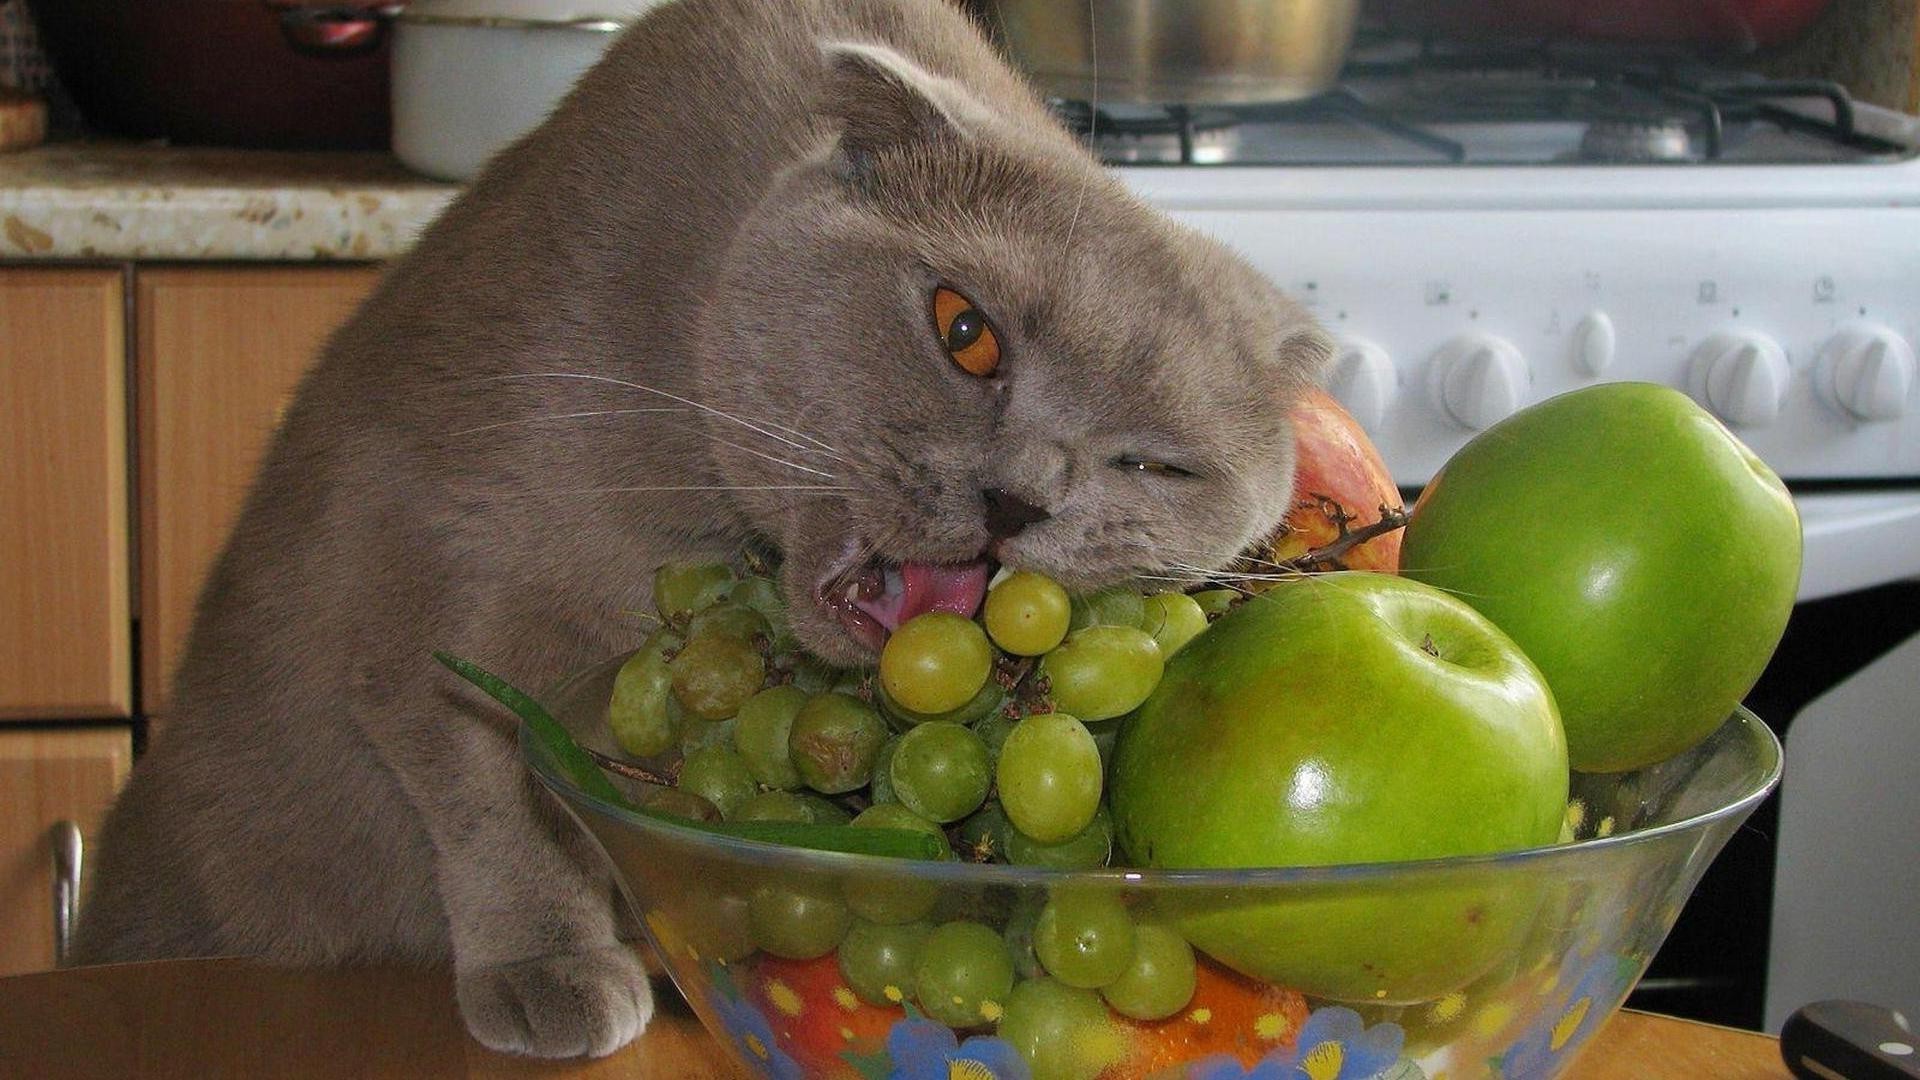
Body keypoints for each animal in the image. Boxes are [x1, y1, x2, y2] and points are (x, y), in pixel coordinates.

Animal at [78, 0, 1336, 1060]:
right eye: (964, 331)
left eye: (1154, 464)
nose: (1021, 498)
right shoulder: (423, 569)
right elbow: (491, 787)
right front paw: (553, 970)